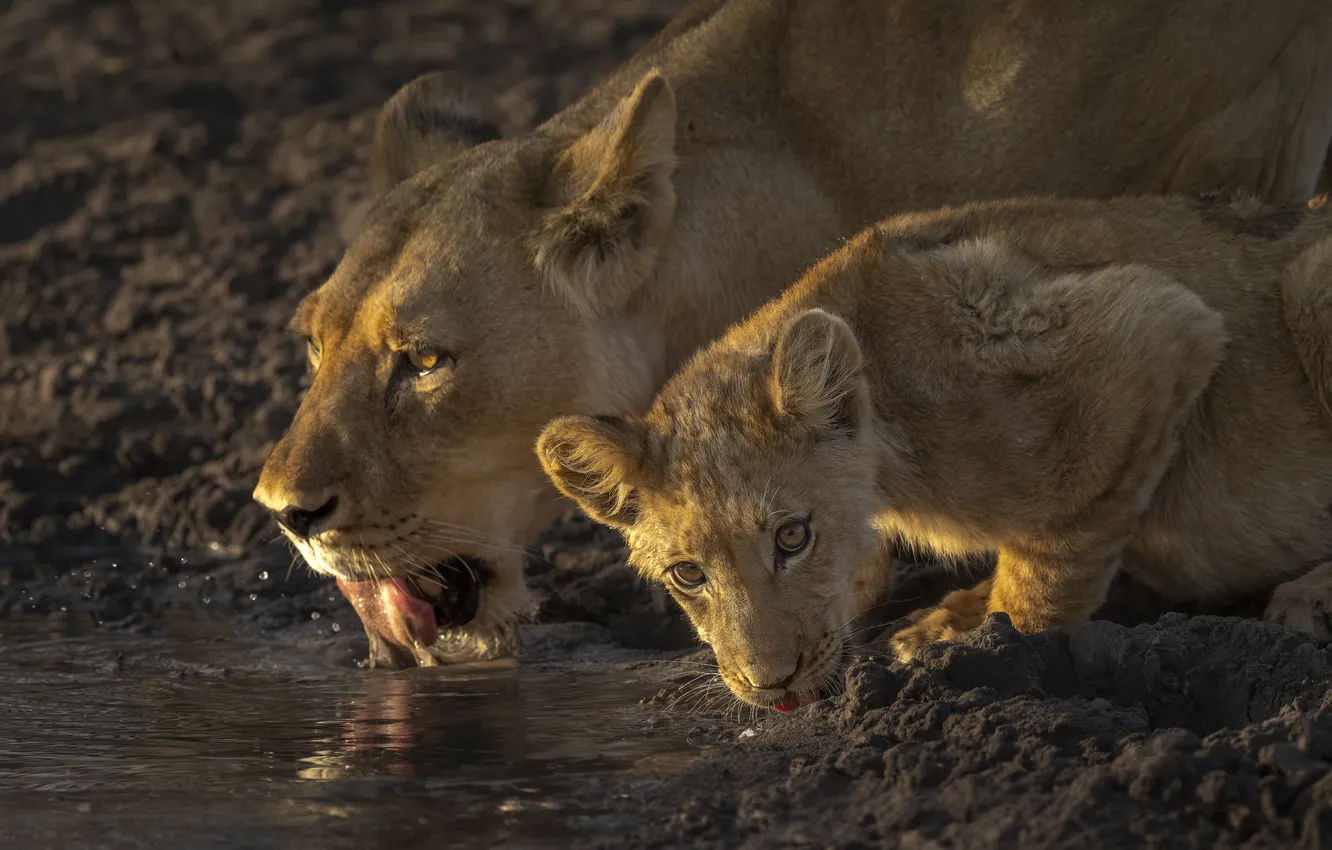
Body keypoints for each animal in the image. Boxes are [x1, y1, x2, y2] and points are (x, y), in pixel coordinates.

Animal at [537, 193, 1332, 709]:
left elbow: (1049, 563)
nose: (770, 685)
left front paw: (990, 650)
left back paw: (1310, 599)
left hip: (1309, 280)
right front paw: (951, 621)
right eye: (687, 574)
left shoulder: (1147, 326)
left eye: (793, 537)